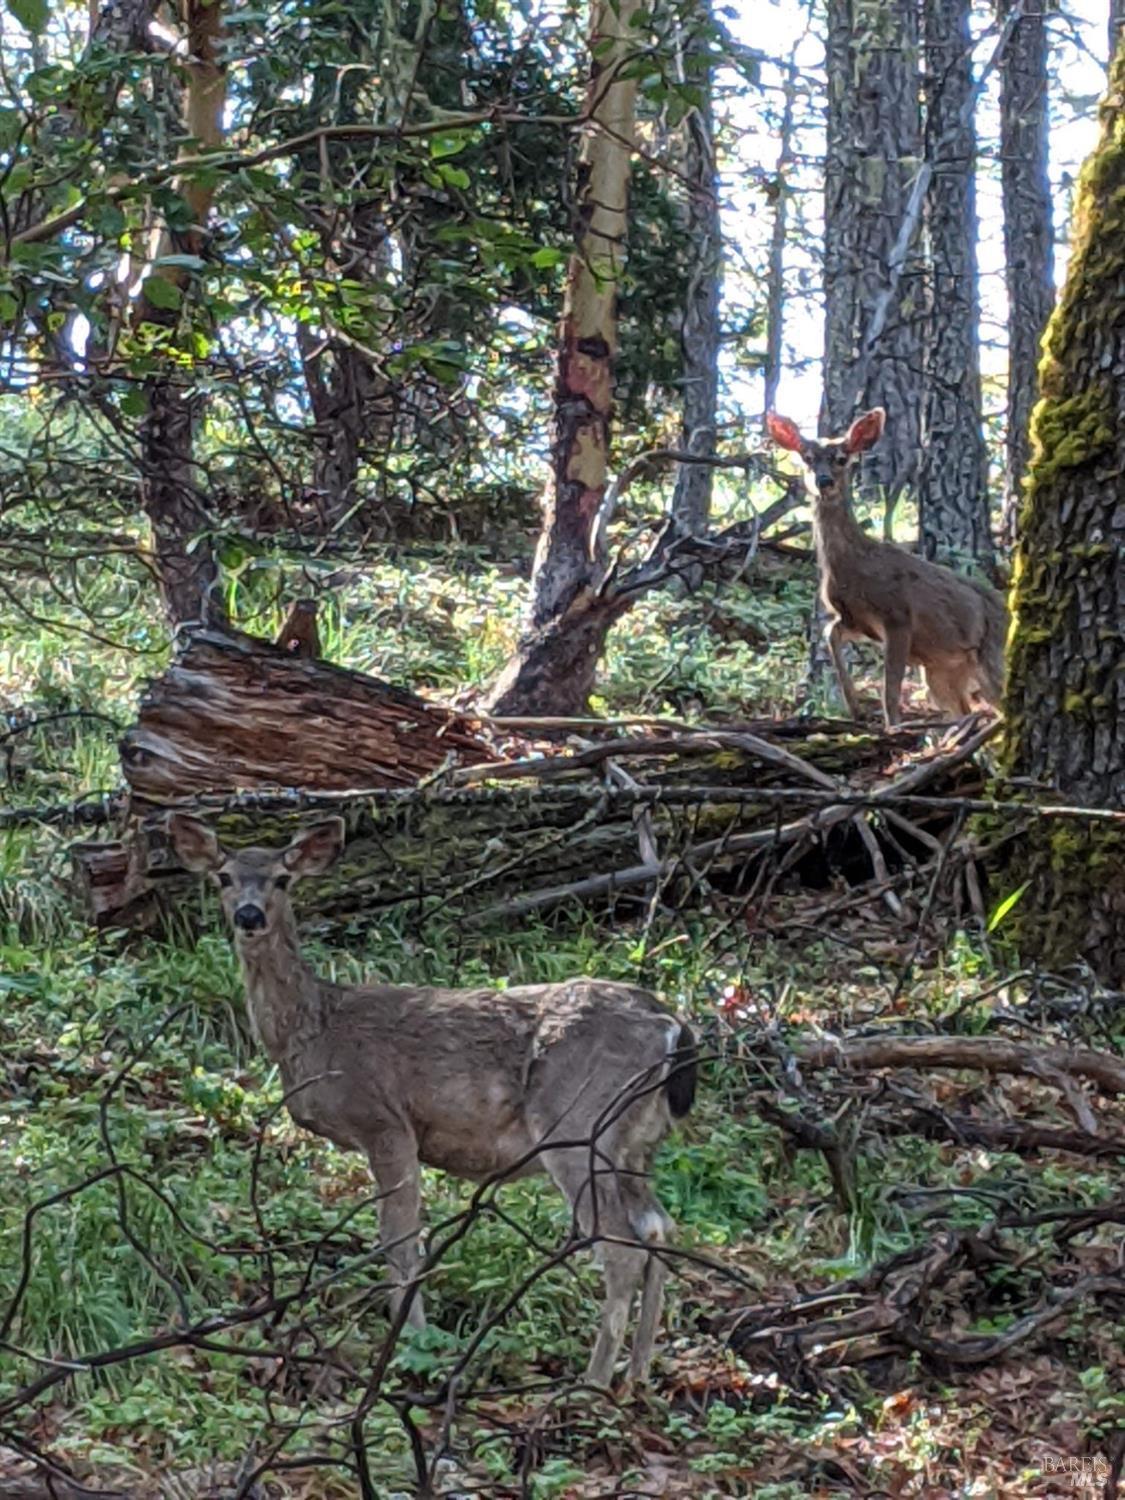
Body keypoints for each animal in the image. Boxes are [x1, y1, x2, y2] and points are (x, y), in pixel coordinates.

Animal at [169, 816, 696, 1386]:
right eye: (223, 877)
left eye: (283, 879)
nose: (250, 915)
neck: (318, 1032)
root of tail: (672, 1026)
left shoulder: (385, 1122)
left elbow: (400, 1241)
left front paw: (410, 1345)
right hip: (635, 1143)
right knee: (658, 1226)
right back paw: (636, 1374)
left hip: (577, 1124)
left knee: (621, 1246)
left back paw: (592, 1383)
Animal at [774, 405, 1008, 720]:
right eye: (807, 458)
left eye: (841, 458)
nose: (824, 481)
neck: (852, 568)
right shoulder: (855, 619)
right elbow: (829, 633)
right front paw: (854, 706)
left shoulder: (898, 614)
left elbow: (890, 691)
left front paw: (889, 723)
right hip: (943, 671)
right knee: (965, 710)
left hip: (991, 654)